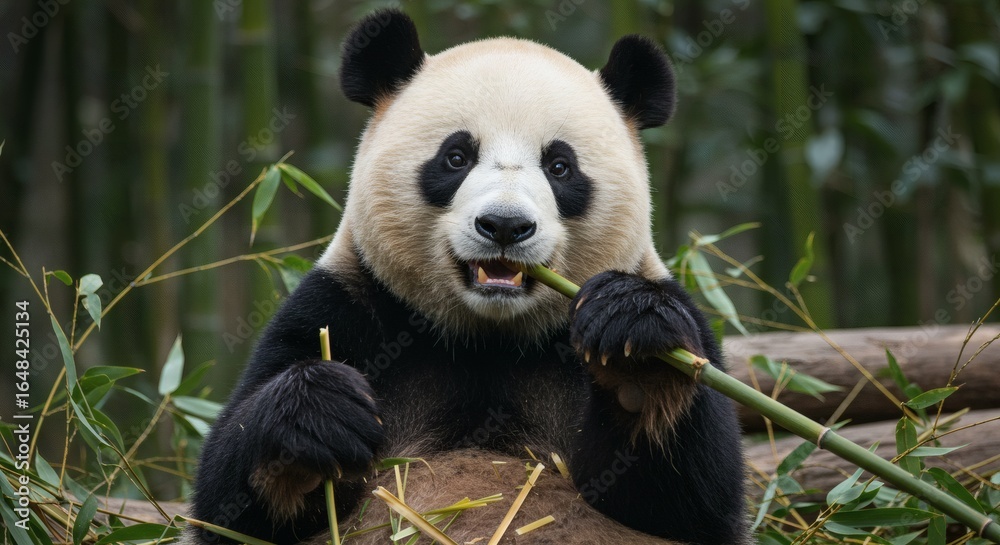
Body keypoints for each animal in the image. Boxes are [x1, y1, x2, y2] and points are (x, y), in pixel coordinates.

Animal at [184, 9, 748, 545]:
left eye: (560, 166)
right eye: (456, 157)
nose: (504, 225)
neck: (489, 336)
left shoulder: (680, 325)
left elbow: (691, 501)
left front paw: (636, 350)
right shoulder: (345, 307)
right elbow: (230, 505)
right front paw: (319, 411)